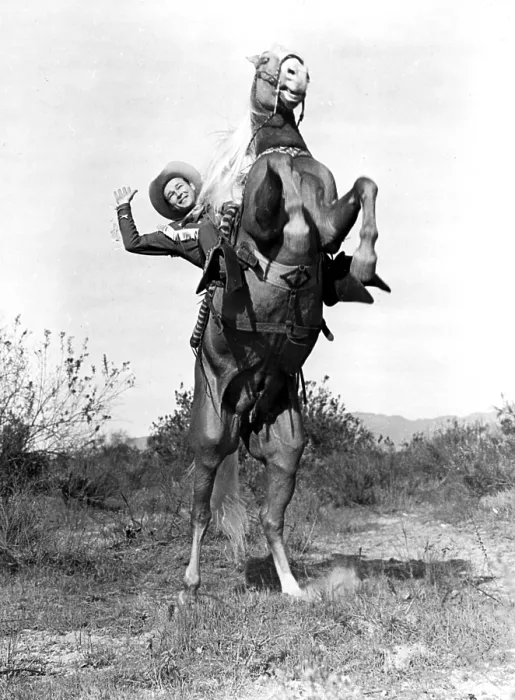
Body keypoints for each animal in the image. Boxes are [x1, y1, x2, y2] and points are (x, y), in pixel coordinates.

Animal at [178, 46, 386, 604]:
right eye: (270, 64)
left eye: (296, 64)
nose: (299, 77)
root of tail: (247, 411)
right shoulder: (264, 217)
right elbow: (269, 179)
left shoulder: (330, 219)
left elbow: (364, 186)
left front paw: (364, 262)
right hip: (211, 437)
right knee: (201, 509)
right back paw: (191, 583)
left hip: (286, 448)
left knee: (272, 521)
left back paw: (292, 588)